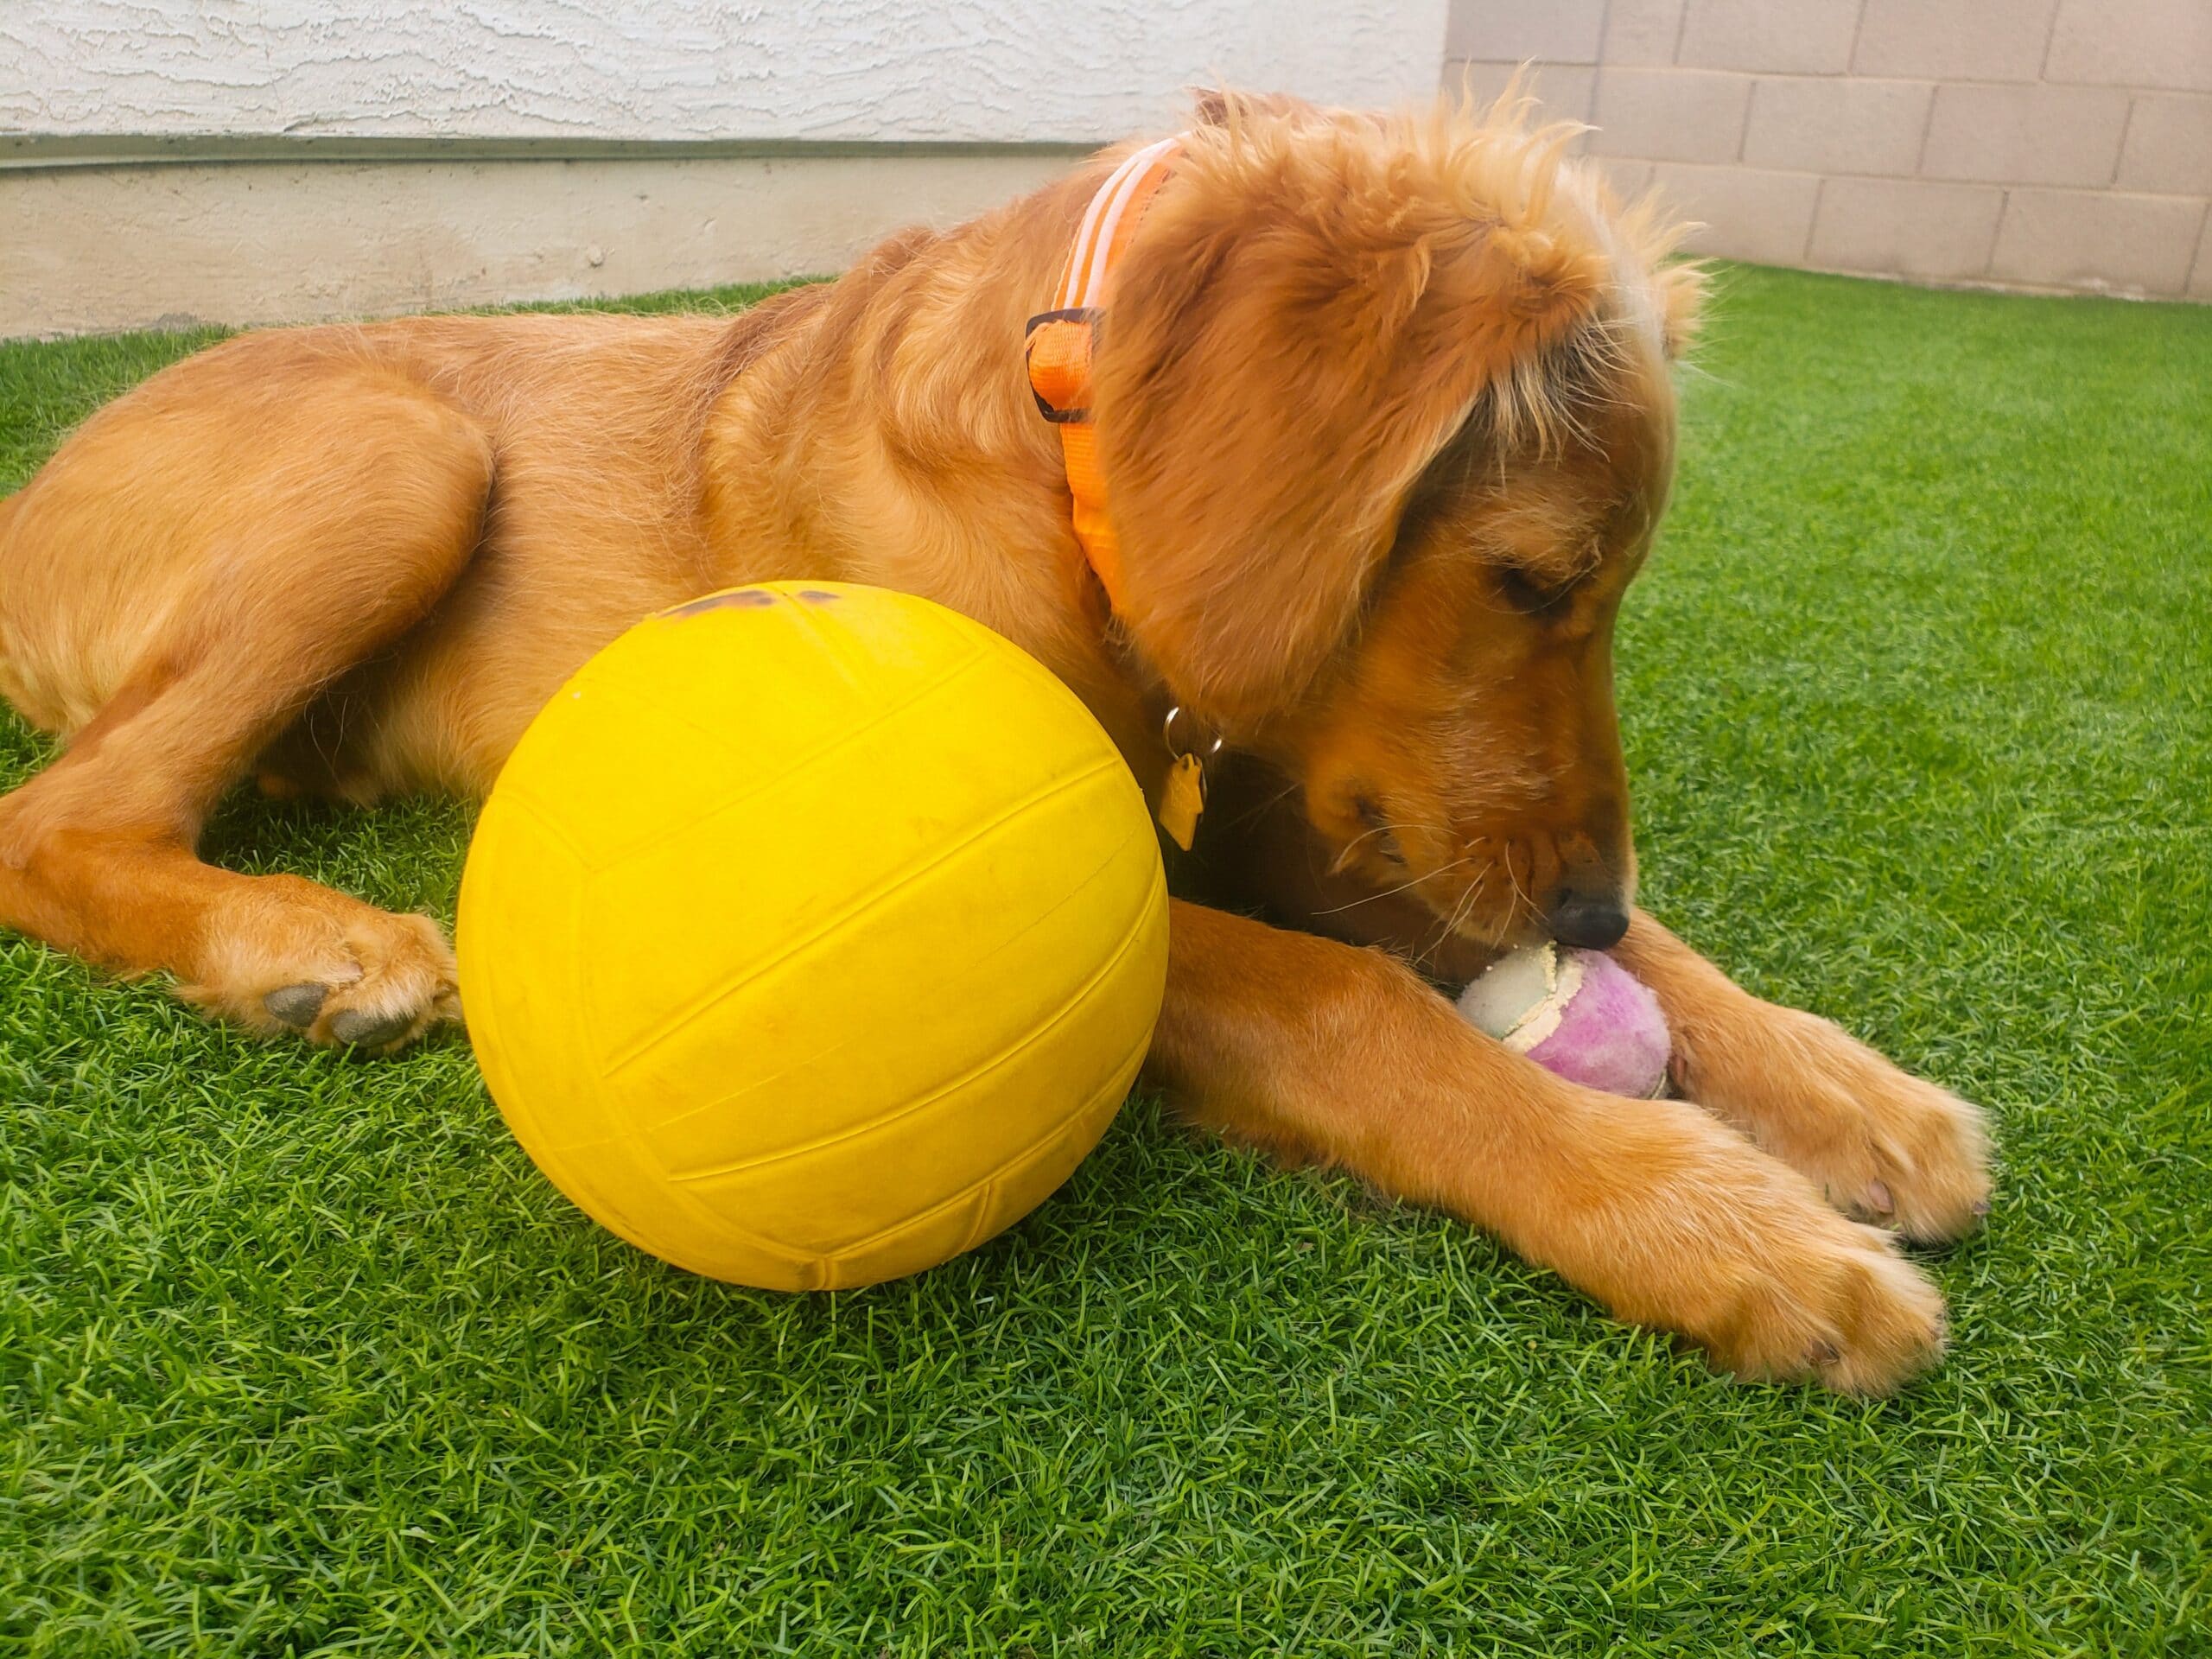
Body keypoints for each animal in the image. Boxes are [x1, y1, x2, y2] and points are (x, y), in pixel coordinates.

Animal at [0, 90, 1991, 1389]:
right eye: (1529, 580)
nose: (1574, 920)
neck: (1058, 475)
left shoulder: (1294, 776)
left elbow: (1616, 947)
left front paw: (1845, 1094)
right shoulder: (1150, 872)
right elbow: (1352, 1004)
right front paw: (1724, 1231)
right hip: (402, 451)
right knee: (56, 819)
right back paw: (308, 949)